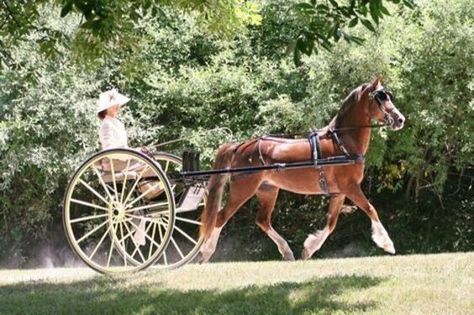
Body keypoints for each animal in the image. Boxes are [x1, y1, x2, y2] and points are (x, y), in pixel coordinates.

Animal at [198, 78, 406, 262]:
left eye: (389, 96)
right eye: (380, 98)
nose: (400, 119)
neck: (342, 143)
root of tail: (240, 146)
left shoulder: (339, 192)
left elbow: (331, 223)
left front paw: (309, 249)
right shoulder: (350, 187)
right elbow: (371, 209)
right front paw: (388, 244)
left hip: (268, 190)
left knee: (262, 220)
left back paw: (287, 252)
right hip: (243, 189)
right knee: (221, 217)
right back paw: (206, 252)